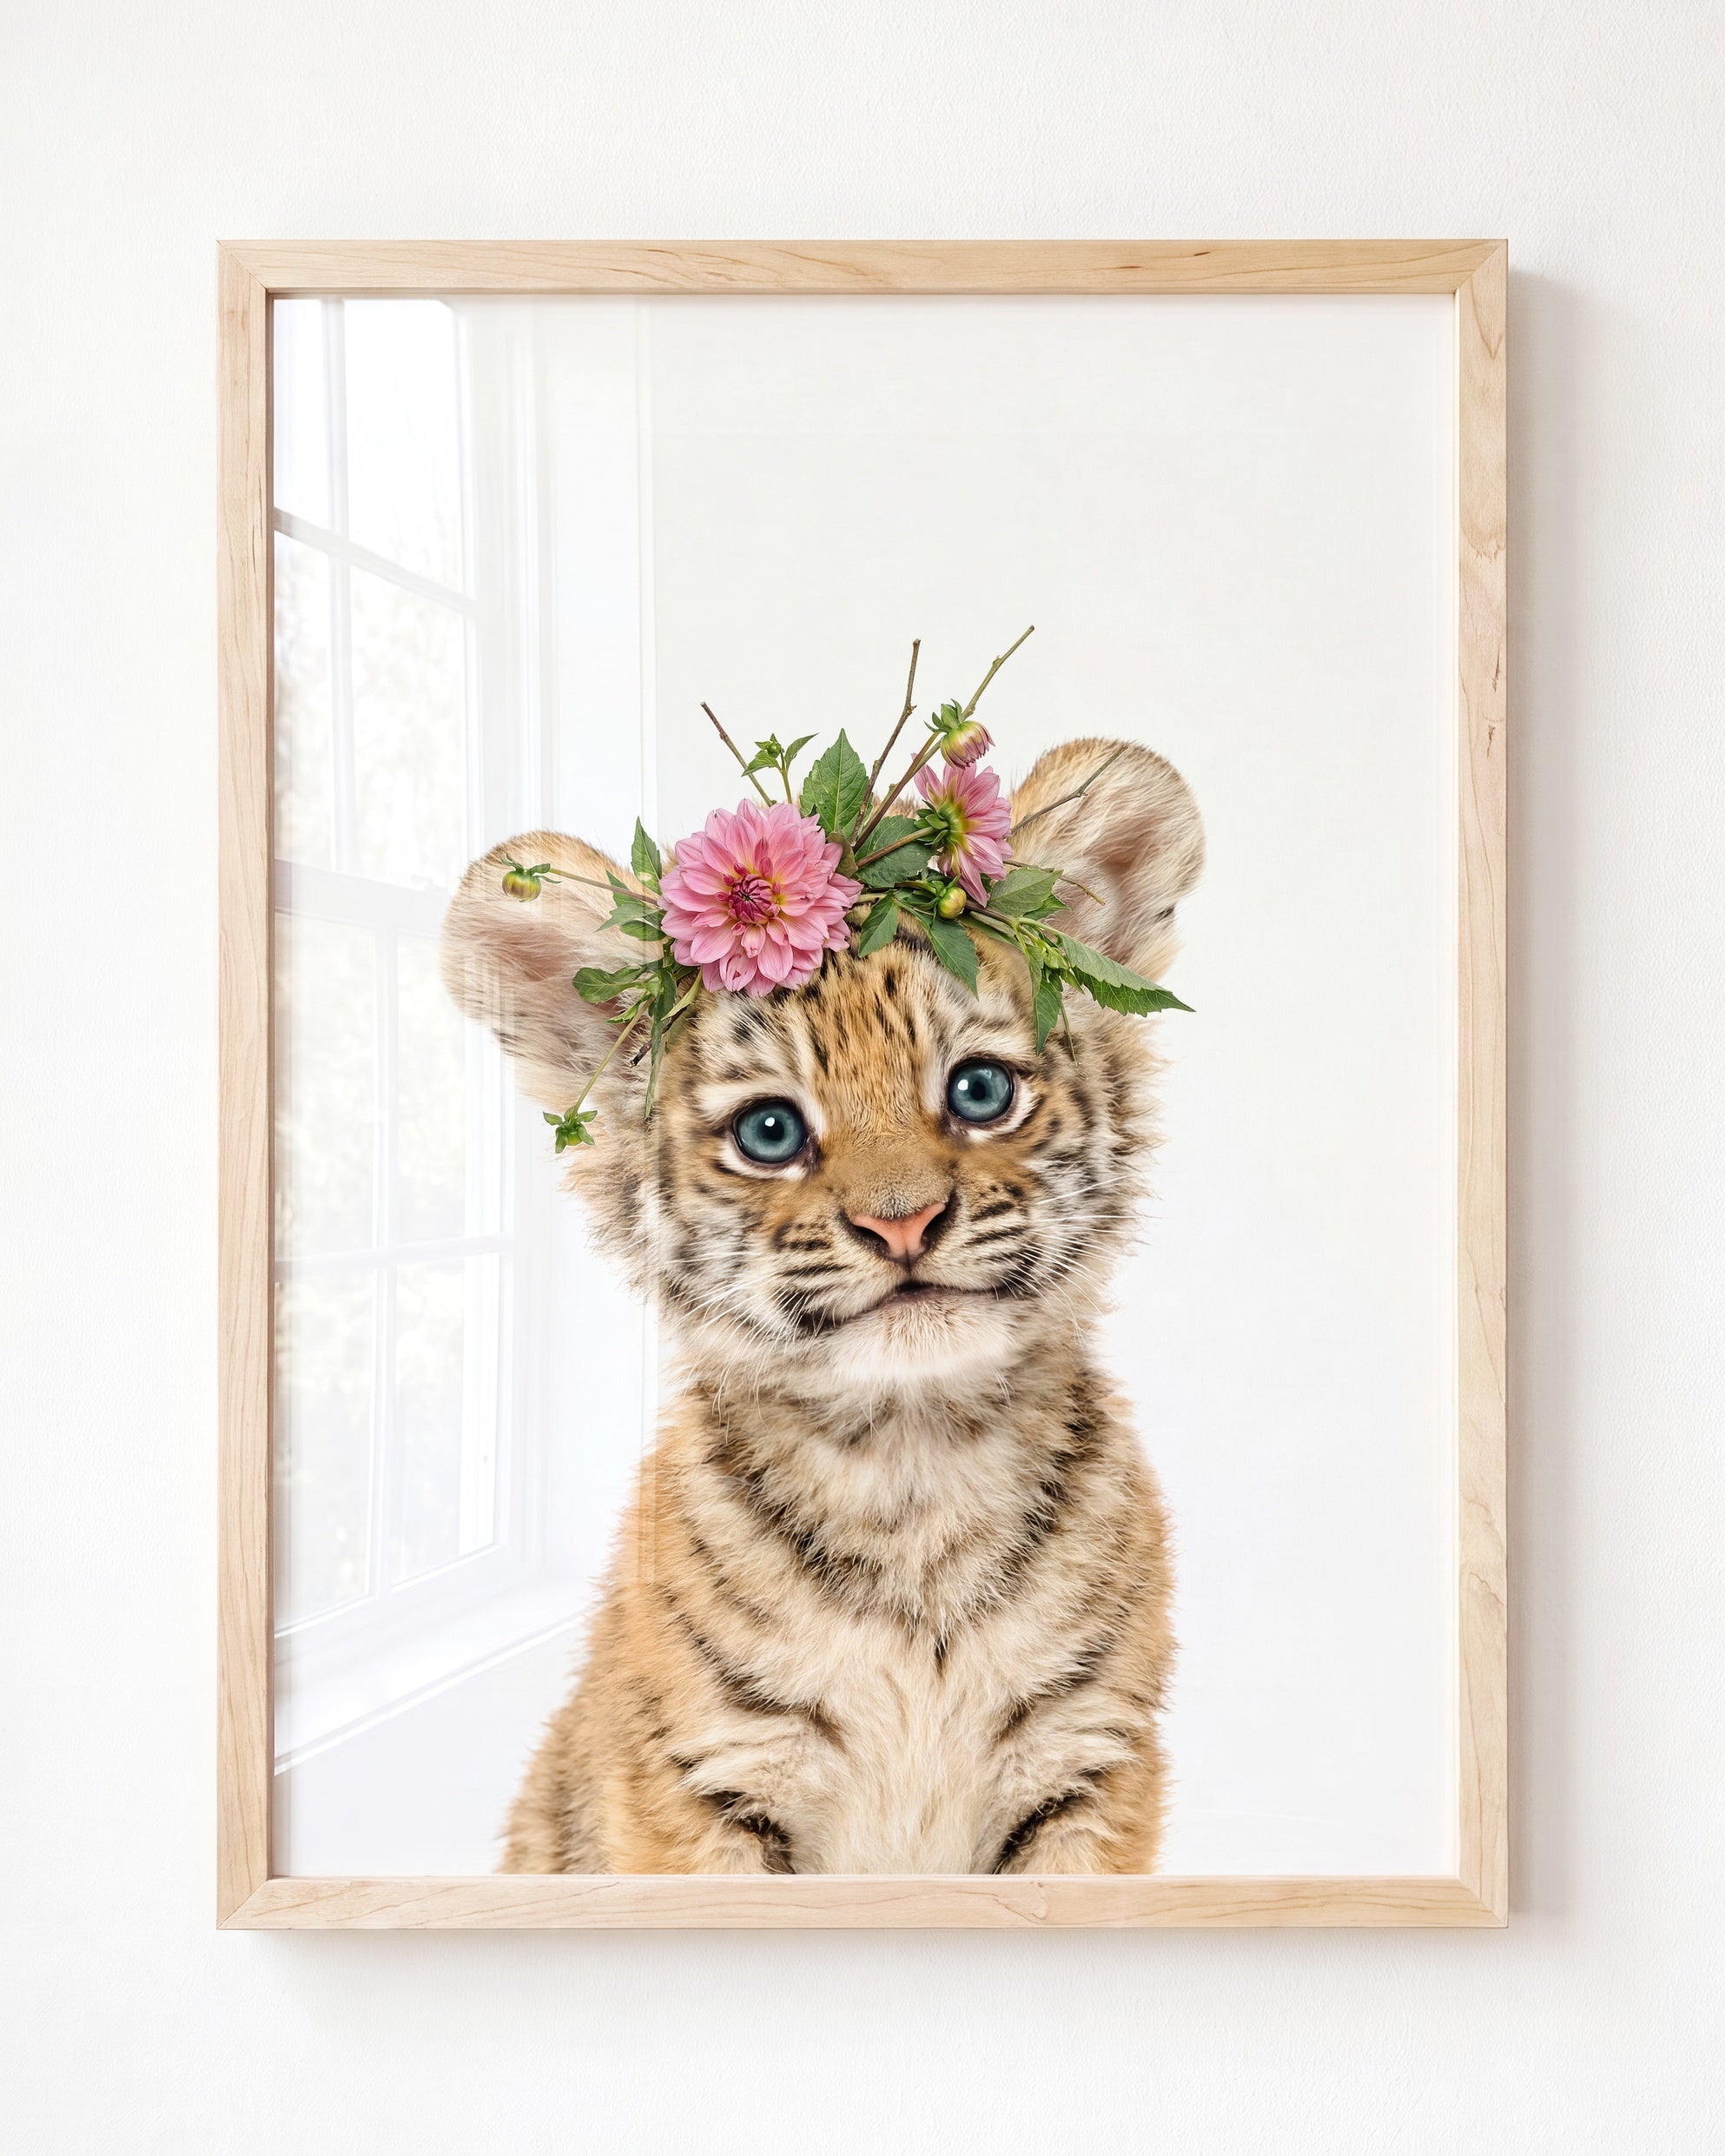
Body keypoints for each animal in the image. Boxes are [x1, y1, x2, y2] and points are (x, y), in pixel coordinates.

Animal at [440, 737, 1204, 1874]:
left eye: (980, 1091)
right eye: (770, 1131)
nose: (903, 1222)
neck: (914, 1467)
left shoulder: (1088, 1762)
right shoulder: (704, 1778)